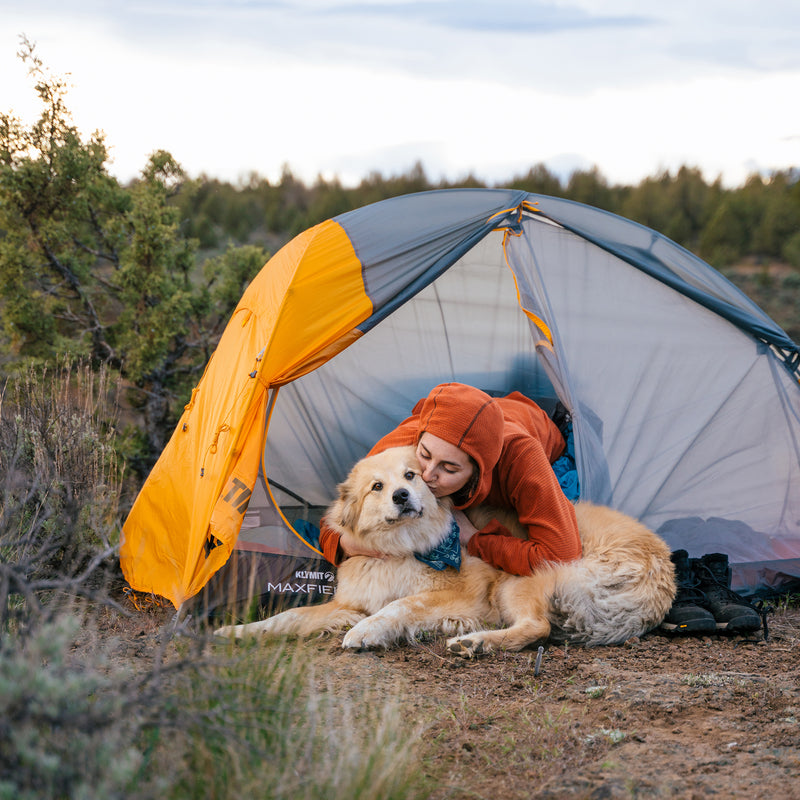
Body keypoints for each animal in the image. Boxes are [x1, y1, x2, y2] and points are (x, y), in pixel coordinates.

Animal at [216, 446, 680, 652]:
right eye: (377, 487)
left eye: (410, 475)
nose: (402, 496)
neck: (401, 548)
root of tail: (662, 574)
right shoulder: (349, 602)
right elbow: (289, 617)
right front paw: (237, 631)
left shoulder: (459, 595)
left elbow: (400, 605)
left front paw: (367, 633)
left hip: (514, 582)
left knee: (536, 628)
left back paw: (473, 642)